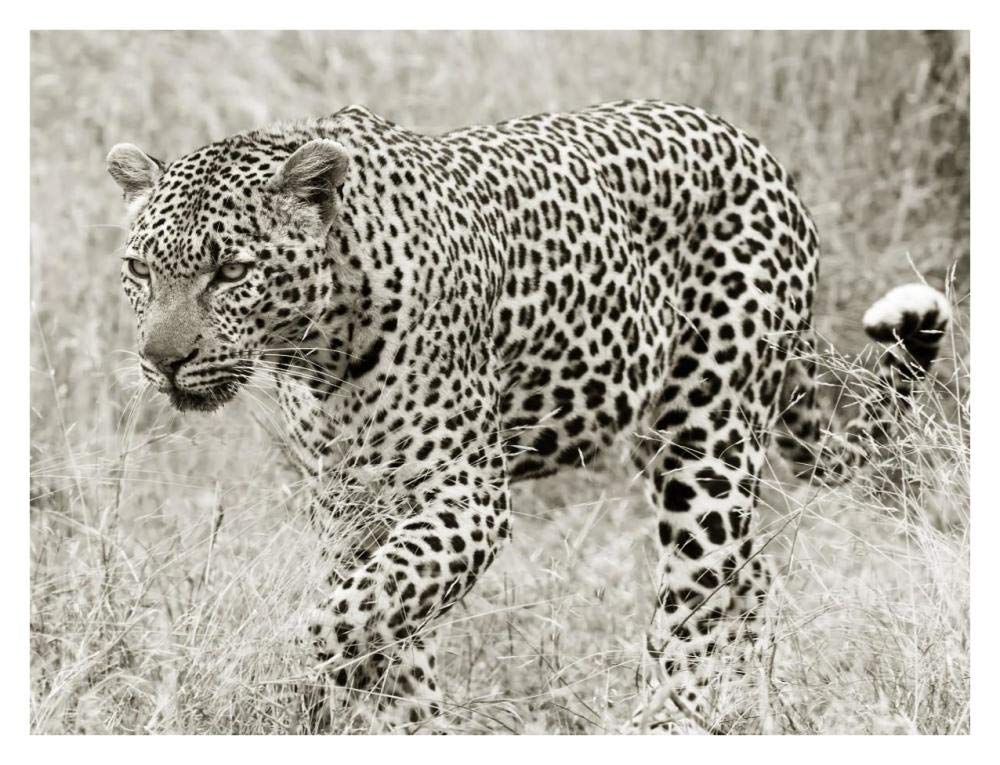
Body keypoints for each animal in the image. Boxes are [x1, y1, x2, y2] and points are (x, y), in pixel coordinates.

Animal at [107, 100, 951, 733]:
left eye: (230, 270)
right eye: (138, 269)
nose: (161, 360)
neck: (316, 347)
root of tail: (762, 154)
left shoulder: (466, 495)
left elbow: (351, 613)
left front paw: (251, 671)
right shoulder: (350, 507)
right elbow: (383, 626)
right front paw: (403, 724)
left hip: (704, 436)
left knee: (700, 589)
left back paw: (665, 722)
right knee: (751, 576)